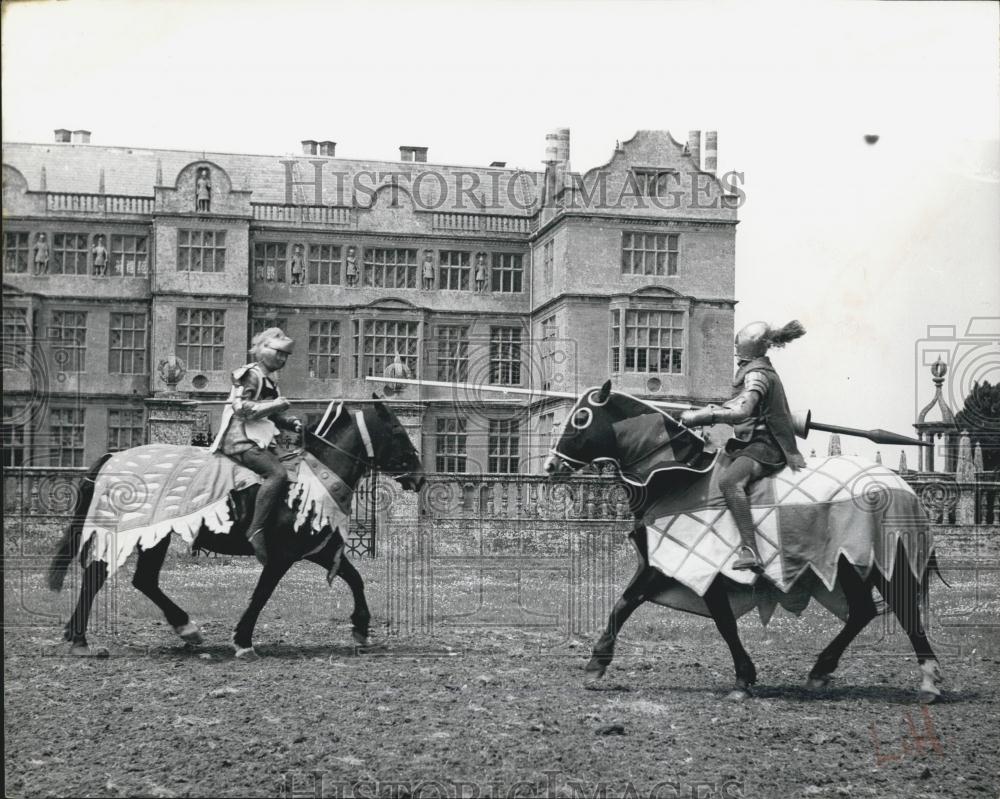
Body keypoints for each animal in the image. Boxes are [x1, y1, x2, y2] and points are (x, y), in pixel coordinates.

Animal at [48, 398, 424, 656]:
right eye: (397, 431)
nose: (419, 477)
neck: (314, 476)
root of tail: (113, 458)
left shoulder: (318, 551)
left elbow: (354, 578)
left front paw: (361, 627)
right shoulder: (281, 556)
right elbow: (262, 594)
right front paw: (243, 640)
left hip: (154, 538)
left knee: (140, 580)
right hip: (138, 535)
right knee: (102, 576)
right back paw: (83, 638)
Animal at [544, 384, 940, 704]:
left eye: (581, 417)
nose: (550, 466)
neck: (676, 477)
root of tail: (903, 488)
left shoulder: (695, 565)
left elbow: (715, 622)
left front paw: (743, 679)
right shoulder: (672, 568)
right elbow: (629, 604)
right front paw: (596, 663)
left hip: (880, 562)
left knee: (904, 612)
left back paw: (929, 682)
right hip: (851, 568)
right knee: (862, 612)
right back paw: (822, 670)